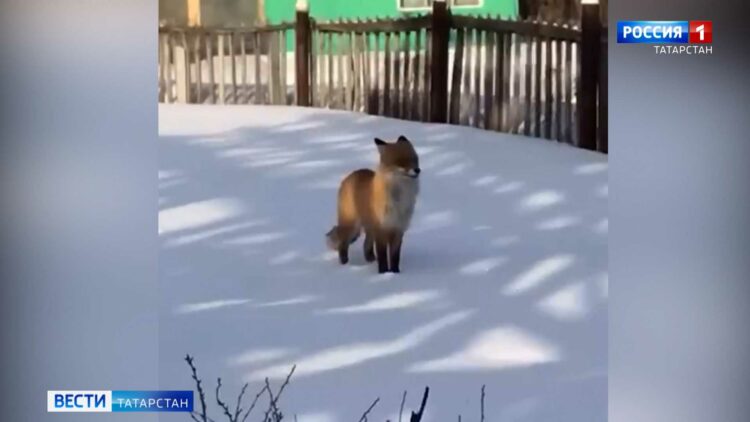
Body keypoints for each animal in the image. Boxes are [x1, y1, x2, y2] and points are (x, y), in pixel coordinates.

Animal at [326, 135, 421, 273]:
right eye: (400, 162)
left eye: (414, 159)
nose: (418, 170)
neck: (398, 199)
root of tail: (350, 176)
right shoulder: (382, 230)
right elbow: (383, 256)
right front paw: (383, 273)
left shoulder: (398, 229)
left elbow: (395, 257)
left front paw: (395, 273)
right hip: (352, 226)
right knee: (343, 245)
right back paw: (345, 265)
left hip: (368, 229)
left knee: (366, 245)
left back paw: (370, 260)